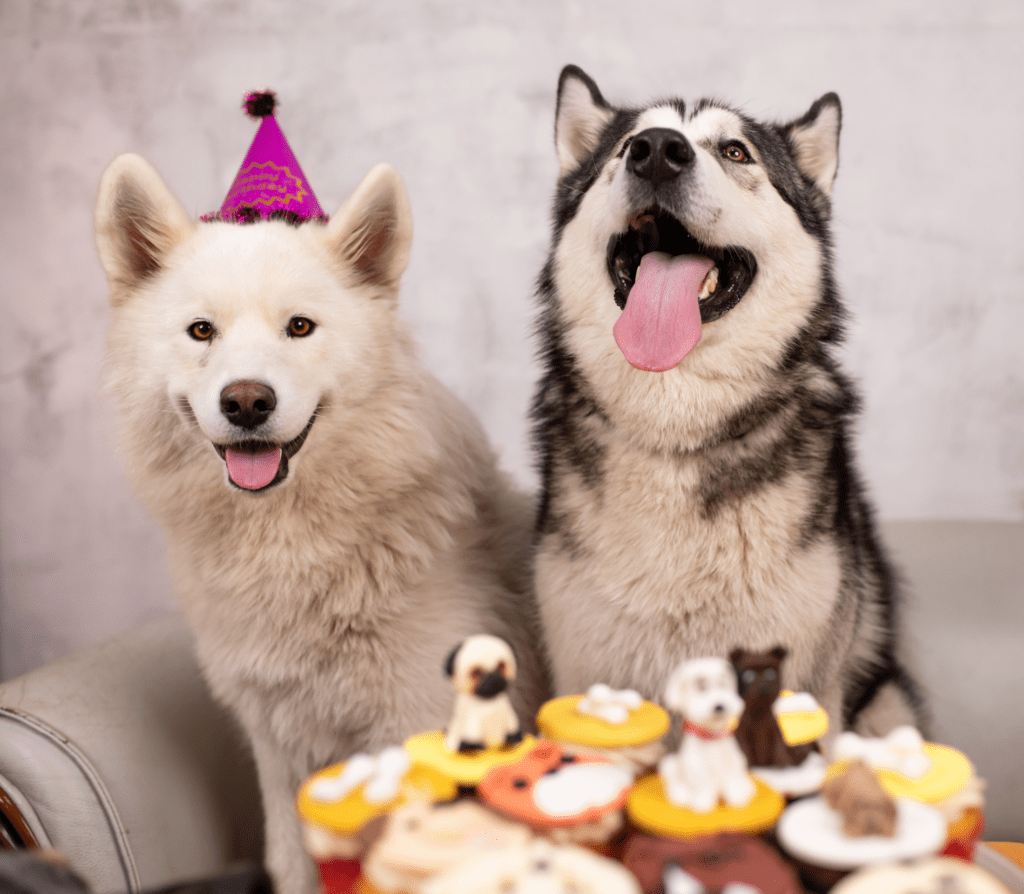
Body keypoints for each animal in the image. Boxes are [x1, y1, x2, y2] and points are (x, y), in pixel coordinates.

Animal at [659, 651, 757, 811]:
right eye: (702, 688)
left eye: (722, 685)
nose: (719, 706)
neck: (712, 736)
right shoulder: (697, 768)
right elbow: (703, 787)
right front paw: (703, 804)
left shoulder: (732, 762)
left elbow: (733, 782)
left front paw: (737, 799)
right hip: (673, 767)